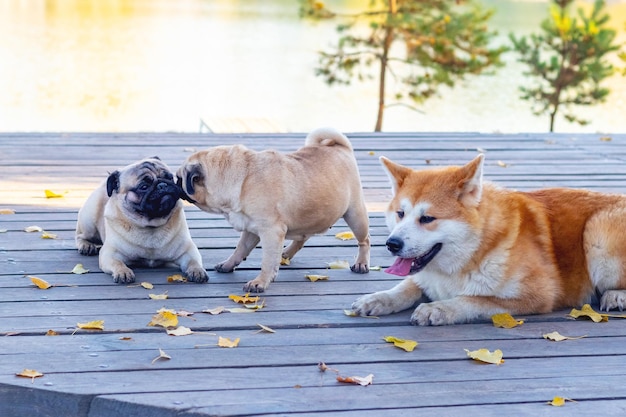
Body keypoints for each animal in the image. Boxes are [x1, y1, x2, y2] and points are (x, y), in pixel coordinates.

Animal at [352, 154, 626, 324]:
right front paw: (378, 298)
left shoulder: (537, 295)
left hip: (597, 233)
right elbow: (405, 287)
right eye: (400, 214)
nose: (392, 244)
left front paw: (440, 308)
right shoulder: (424, 278)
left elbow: (473, 299)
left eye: (427, 218)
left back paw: (616, 295)